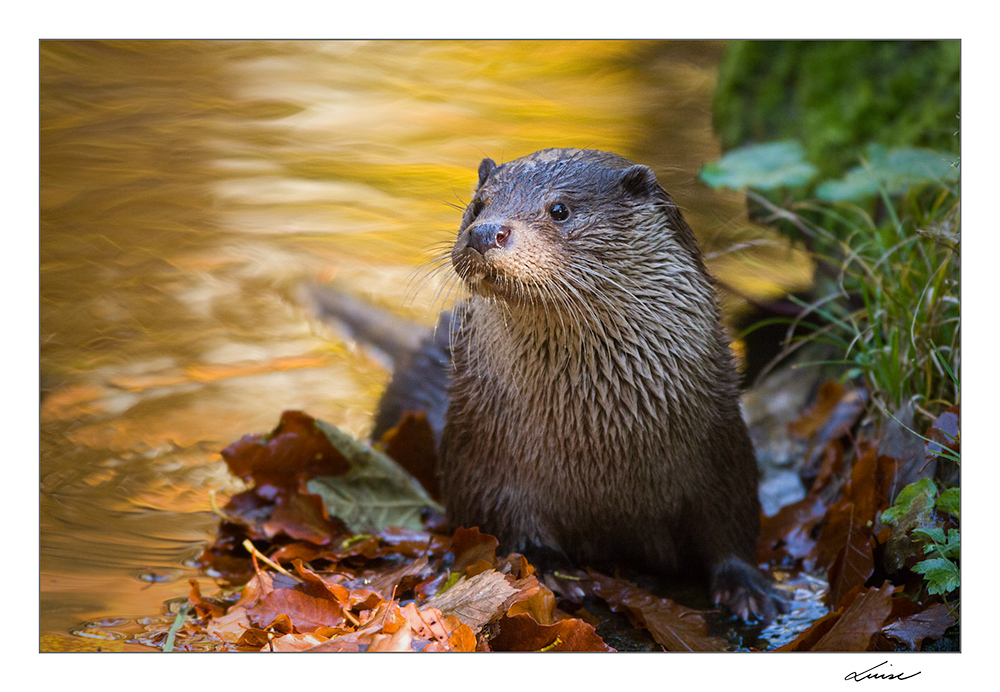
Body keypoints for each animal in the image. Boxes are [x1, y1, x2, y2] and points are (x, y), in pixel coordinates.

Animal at [316, 147, 784, 620]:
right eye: (478, 205)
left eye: (560, 210)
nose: (484, 232)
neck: (601, 446)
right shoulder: (485, 454)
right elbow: (501, 519)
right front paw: (552, 570)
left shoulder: (720, 446)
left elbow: (731, 523)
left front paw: (746, 587)